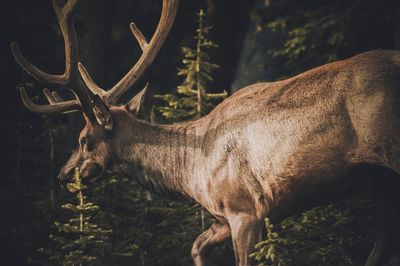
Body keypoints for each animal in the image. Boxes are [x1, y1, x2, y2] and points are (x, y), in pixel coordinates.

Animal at [10, 0, 400, 264]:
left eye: (83, 140)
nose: (63, 175)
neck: (190, 170)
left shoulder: (245, 210)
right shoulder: (227, 218)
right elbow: (196, 246)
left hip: (390, 149)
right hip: (382, 182)